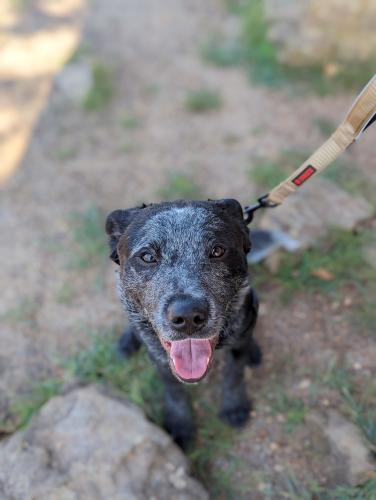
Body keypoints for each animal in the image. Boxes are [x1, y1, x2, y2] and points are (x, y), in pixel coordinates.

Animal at [105, 197, 262, 448]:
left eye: (218, 250)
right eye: (147, 256)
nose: (188, 316)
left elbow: (234, 375)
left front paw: (234, 407)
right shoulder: (158, 358)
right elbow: (173, 390)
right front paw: (180, 423)